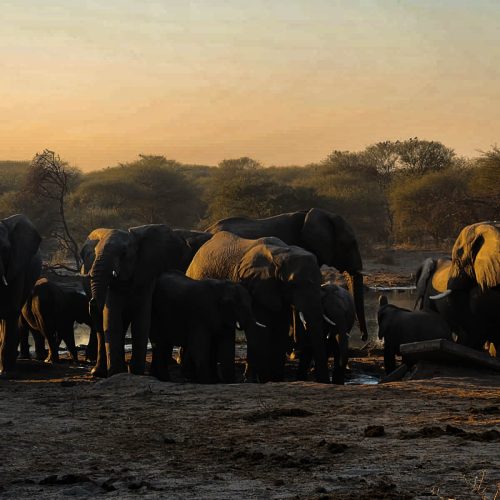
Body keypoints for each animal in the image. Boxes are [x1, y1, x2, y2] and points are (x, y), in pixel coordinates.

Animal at [81, 225, 190, 376]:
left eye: (123, 253)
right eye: (95, 253)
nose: (92, 301)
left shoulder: (146, 277)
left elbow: (141, 321)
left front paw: (135, 372)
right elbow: (111, 319)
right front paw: (116, 373)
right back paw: (98, 372)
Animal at [186, 230, 334, 382]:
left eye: (320, 282)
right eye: (293, 285)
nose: (325, 381)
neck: (281, 254)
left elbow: (280, 329)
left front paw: (276, 379)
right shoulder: (254, 285)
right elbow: (260, 330)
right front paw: (262, 379)